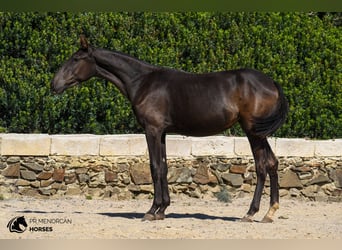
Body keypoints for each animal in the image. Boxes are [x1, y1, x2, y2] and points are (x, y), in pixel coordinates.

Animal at [50, 35, 288, 223]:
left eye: (76, 59)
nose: (54, 85)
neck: (142, 82)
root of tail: (272, 83)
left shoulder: (152, 130)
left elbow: (155, 167)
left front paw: (151, 210)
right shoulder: (162, 132)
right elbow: (163, 167)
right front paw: (162, 209)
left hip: (253, 132)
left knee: (262, 166)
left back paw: (250, 213)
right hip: (259, 133)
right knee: (272, 163)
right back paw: (269, 212)